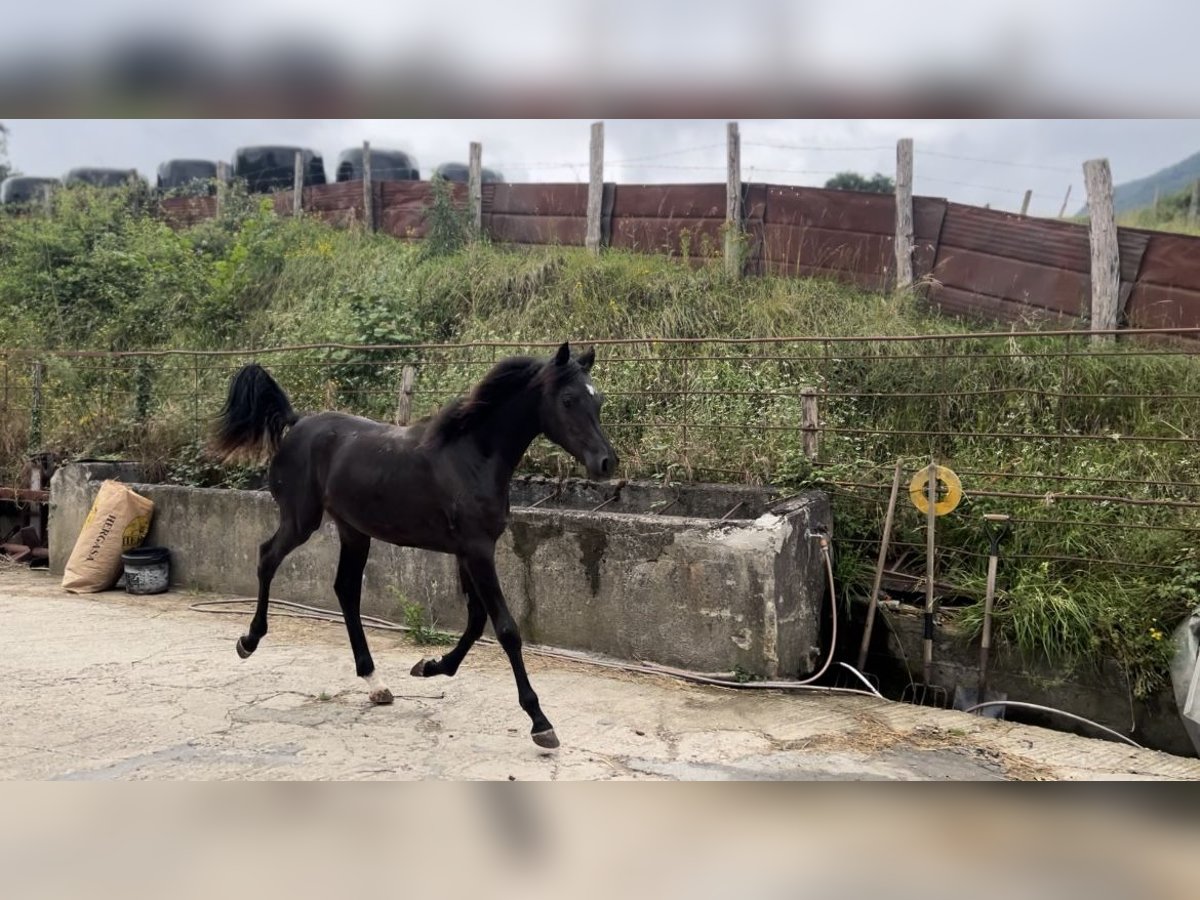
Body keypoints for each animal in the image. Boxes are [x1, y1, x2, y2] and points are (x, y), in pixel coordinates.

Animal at [210, 340, 614, 748]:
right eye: (568, 400)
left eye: (597, 400)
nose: (606, 463)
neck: (471, 457)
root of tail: (297, 422)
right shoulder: (478, 551)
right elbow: (505, 629)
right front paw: (539, 721)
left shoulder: (467, 552)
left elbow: (476, 620)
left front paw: (431, 666)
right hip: (300, 521)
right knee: (267, 558)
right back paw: (249, 641)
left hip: (353, 531)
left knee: (346, 590)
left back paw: (375, 682)